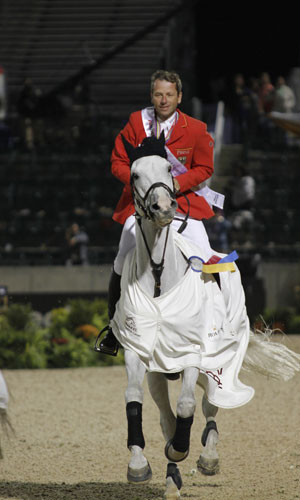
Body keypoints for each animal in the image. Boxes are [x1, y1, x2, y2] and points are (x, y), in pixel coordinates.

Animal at [96, 135, 300, 498]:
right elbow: (136, 401)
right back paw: (172, 476)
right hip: (159, 371)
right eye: (134, 174)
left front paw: (183, 449)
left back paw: (208, 456)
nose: (164, 208)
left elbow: (188, 407)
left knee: (211, 406)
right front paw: (140, 463)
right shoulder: (138, 351)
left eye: (168, 167)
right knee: (166, 415)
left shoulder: (192, 353)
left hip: (213, 359)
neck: (159, 272)